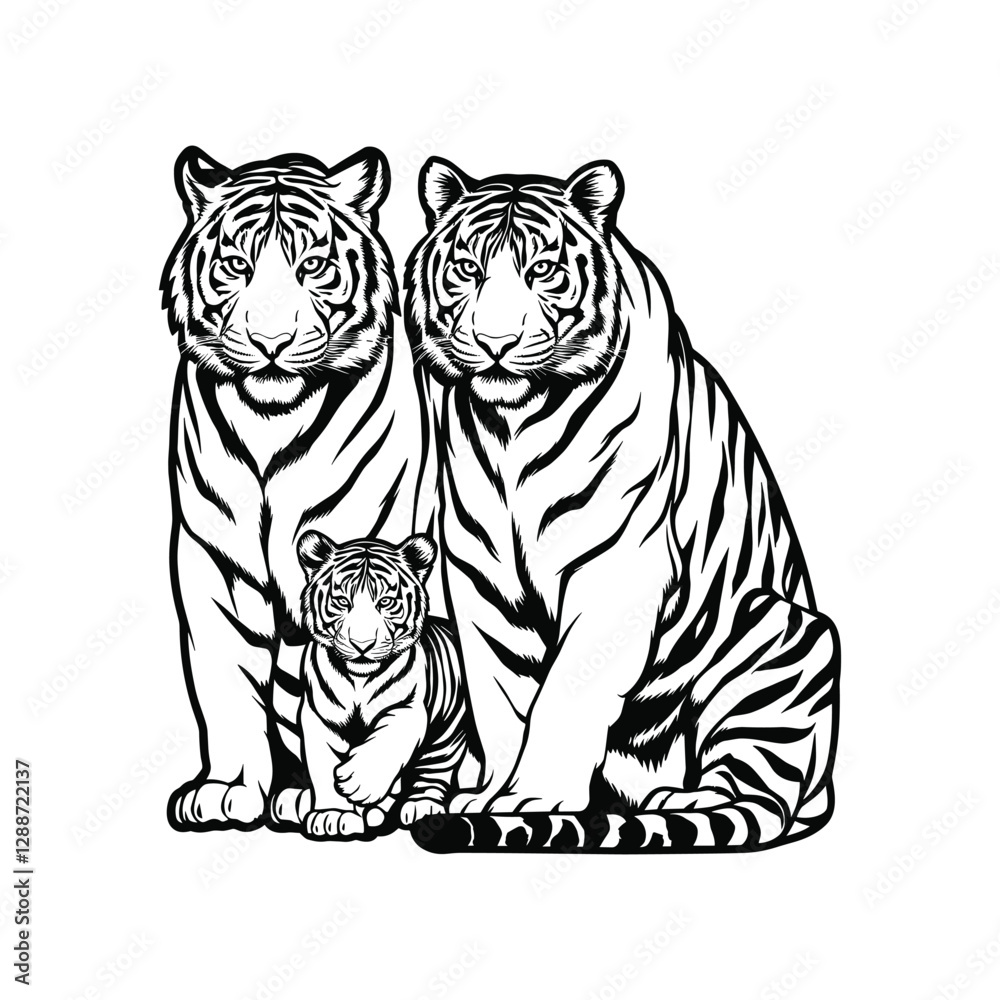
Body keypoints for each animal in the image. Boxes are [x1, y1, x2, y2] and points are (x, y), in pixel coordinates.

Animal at [160, 146, 427, 831]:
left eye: (314, 266)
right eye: (236, 265)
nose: (272, 342)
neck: (270, 421)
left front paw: (348, 795)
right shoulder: (213, 560)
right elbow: (225, 679)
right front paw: (227, 788)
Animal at [269, 532, 467, 839]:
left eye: (385, 602)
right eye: (341, 601)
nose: (362, 644)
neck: (358, 680)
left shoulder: (408, 707)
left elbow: (386, 740)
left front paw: (357, 782)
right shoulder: (320, 717)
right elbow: (323, 763)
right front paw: (332, 815)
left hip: (449, 732)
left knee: (434, 770)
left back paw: (420, 807)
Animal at [403, 156, 841, 852]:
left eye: (543, 271)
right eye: (467, 269)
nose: (497, 342)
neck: (511, 425)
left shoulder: (619, 568)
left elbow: (563, 694)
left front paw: (526, 800)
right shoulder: (481, 578)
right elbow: (501, 697)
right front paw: (488, 792)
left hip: (781, 628)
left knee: (754, 796)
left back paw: (680, 800)